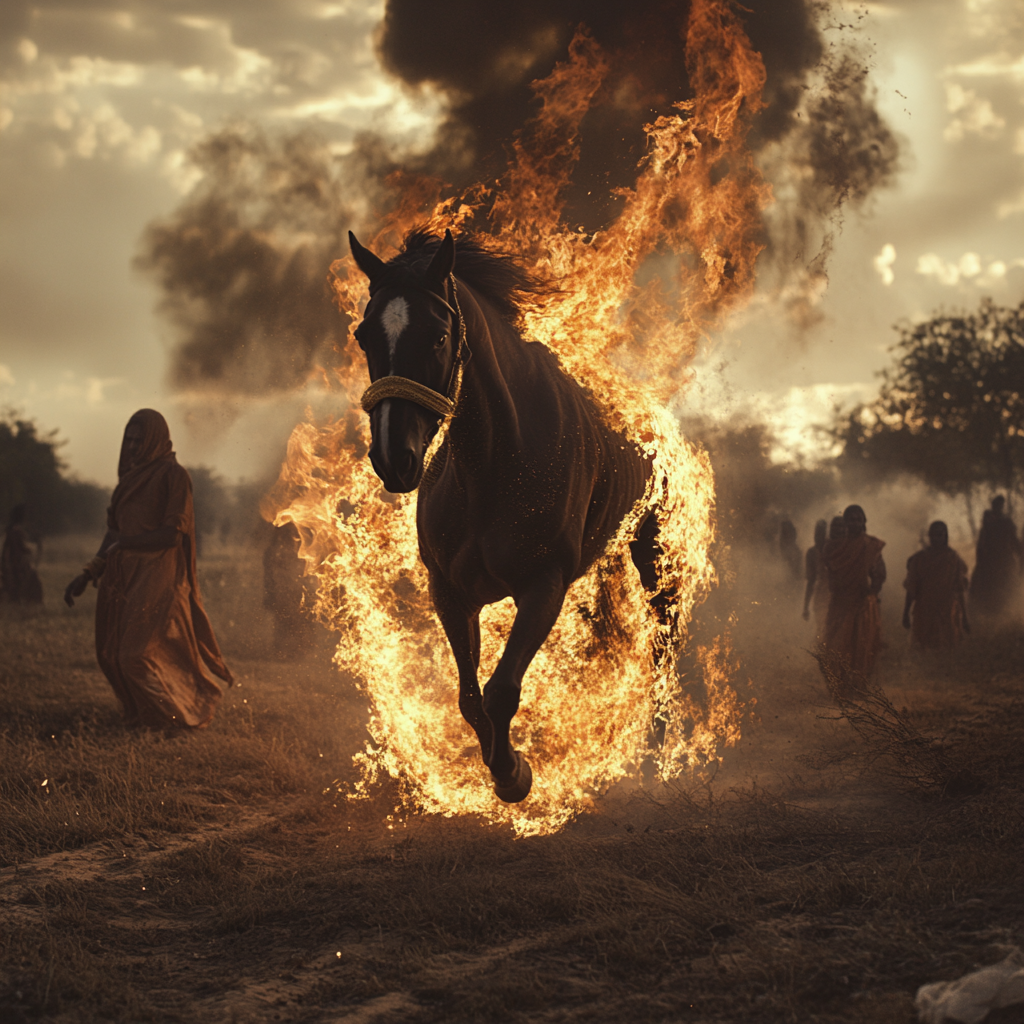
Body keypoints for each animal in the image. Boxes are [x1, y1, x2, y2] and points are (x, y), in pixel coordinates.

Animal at [348, 228, 663, 802]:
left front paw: (514, 774)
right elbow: (470, 699)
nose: (392, 457)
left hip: (654, 554)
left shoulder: (543, 587)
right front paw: (503, 766)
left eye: (438, 336)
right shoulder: (451, 593)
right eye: (364, 335)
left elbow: (500, 692)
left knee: (664, 643)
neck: (494, 465)